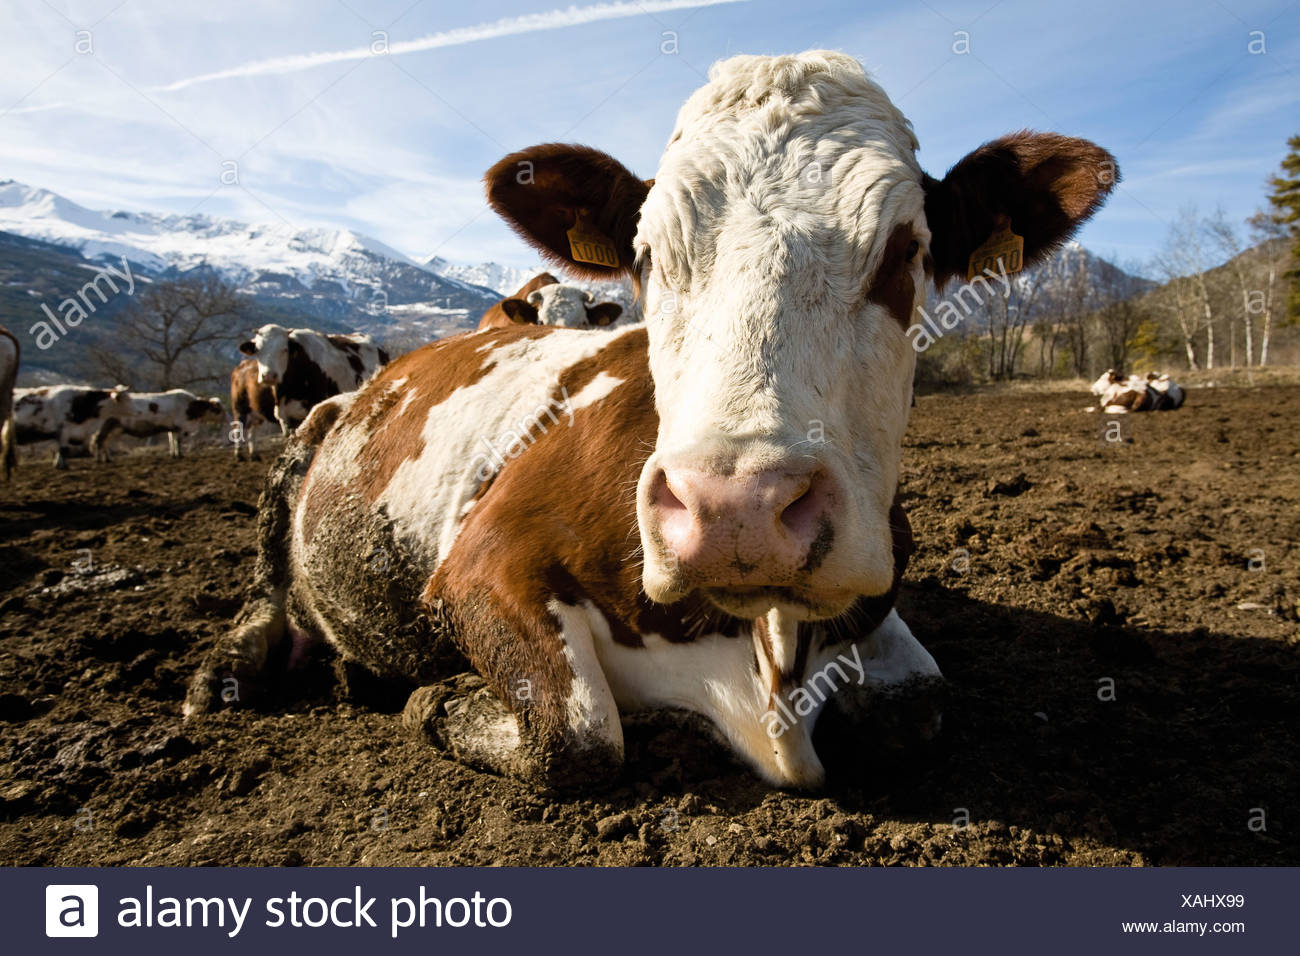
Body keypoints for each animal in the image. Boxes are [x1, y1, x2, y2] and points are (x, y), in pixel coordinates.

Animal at [93, 389, 225, 459]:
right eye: (218, 409)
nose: (225, 417)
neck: (190, 405)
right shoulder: (181, 427)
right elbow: (178, 441)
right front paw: (179, 454)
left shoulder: (173, 428)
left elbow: (172, 440)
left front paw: (174, 454)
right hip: (105, 427)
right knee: (100, 441)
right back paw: (102, 459)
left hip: (113, 428)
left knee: (104, 442)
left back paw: (108, 458)